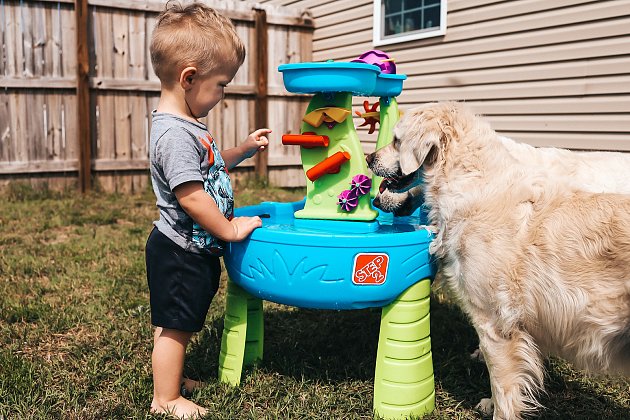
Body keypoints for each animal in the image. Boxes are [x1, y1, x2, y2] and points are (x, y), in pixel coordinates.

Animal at [368, 101, 628, 416]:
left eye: (396, 140)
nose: (369, 157)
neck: (470, 184)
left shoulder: (495, 322)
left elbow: (503, 387)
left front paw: (497, 407)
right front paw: (489, 401)